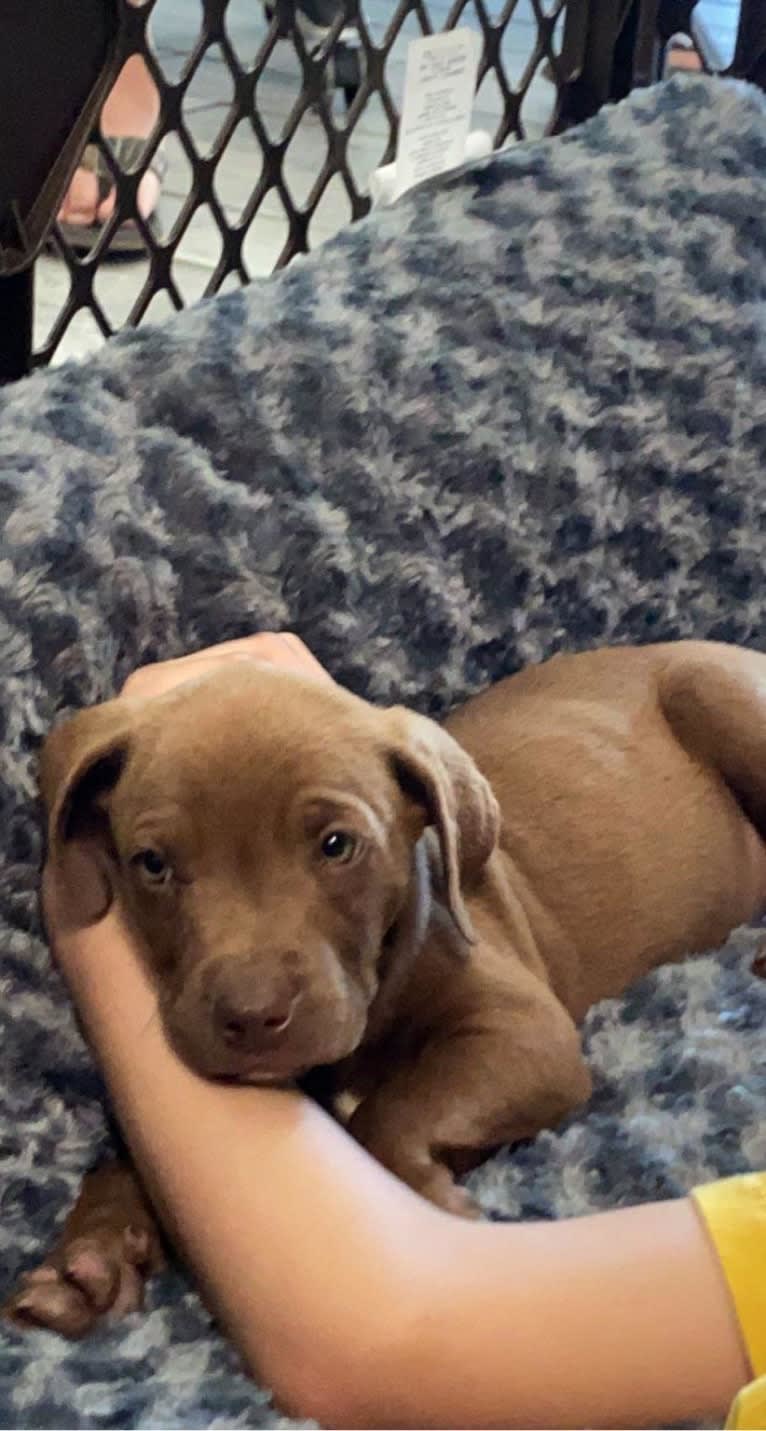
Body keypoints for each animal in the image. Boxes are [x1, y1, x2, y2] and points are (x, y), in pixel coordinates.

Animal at [8, 643, 766, 1333]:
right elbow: (133, 1159)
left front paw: (432, 1194)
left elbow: (391, 1108)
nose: (252, 1015)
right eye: (153, 864)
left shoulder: (524, 1030)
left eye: (337, 845)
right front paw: (94, 1250)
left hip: (716, 688)